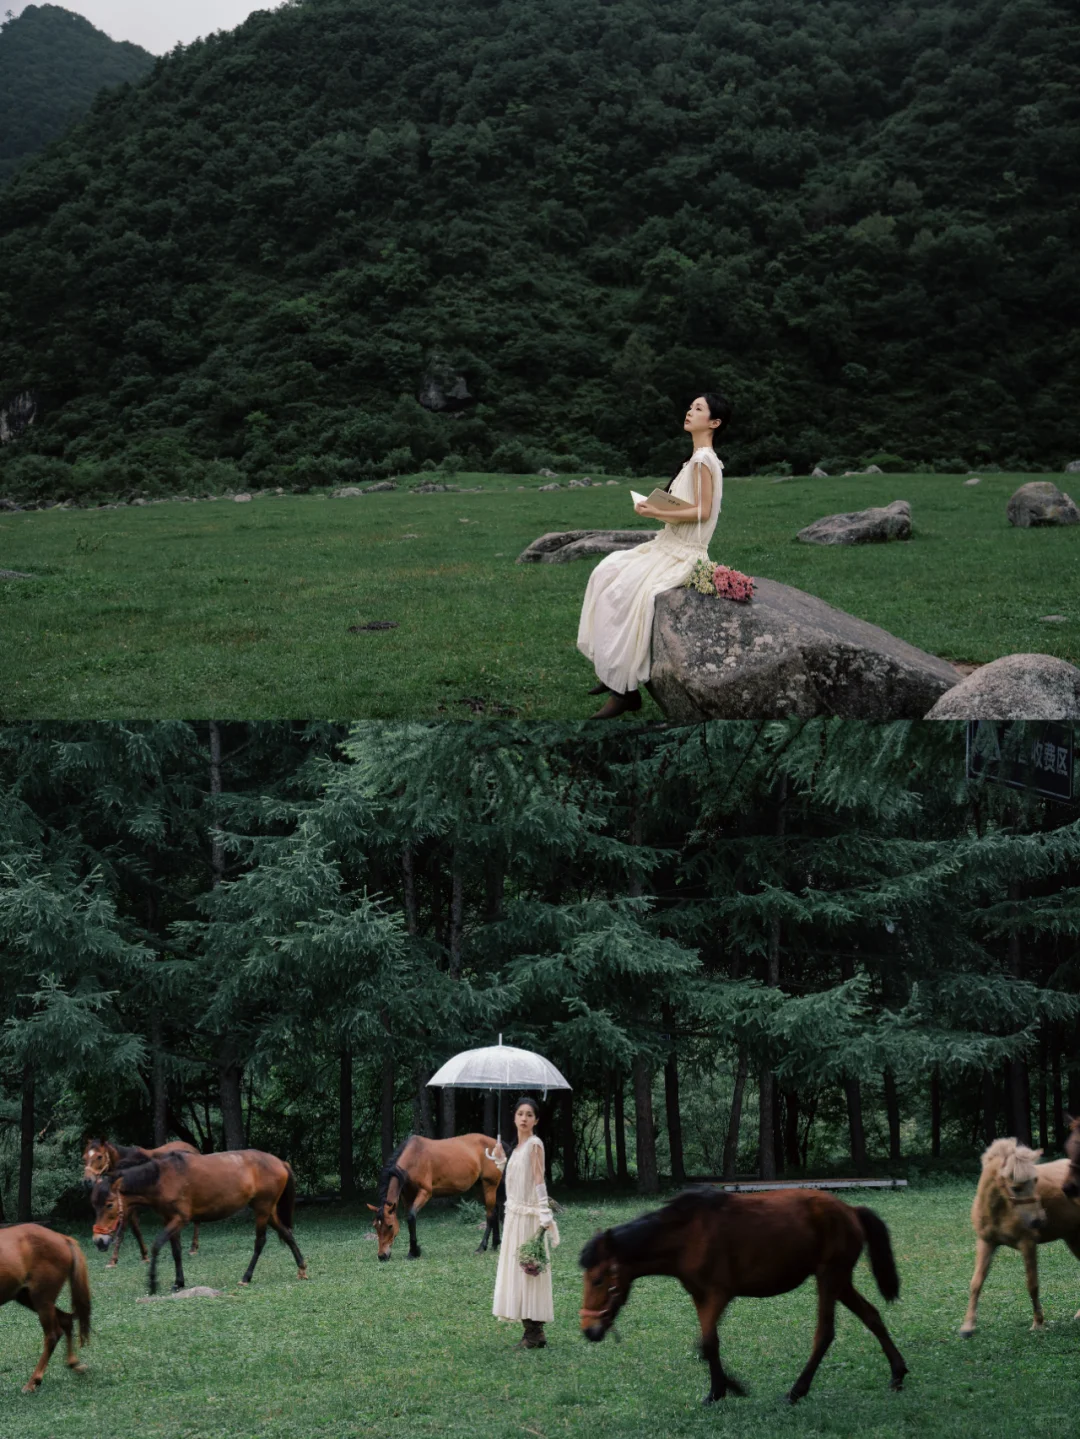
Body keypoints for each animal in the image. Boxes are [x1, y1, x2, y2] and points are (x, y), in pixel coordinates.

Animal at [0, 1226, 91, 1392]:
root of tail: (62, 1238)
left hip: (42, 1300)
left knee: (52, 1335)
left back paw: (33, 1381)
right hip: (28, 1297)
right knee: (66, 1320)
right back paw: (73, 1362)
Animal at [88, 1145, 307, 1295]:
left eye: (109, 1204)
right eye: (94, 1205)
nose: (99, 1241)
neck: (161, 1178)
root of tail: (281, 1162)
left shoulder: (180, 1219)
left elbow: (157, 1245)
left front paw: (152, 1282)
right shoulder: (169, 1220)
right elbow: (176, 1252)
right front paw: (178, 1282)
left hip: (262, 1210)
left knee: (260, 1242)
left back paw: (246, 1277)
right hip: (268, 1211)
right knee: (287, 1234)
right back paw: (302, 1269)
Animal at [368, 1133, 503, 1260]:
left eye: (390, 1226)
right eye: (375, 1226)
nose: (382, 1256)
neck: (414, 1157)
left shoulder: (425, 1192)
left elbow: (411, 1216)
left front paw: (413, 1252)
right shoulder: (407, 1196)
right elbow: (409, 1218)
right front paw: (414, 1251)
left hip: (489, 1185)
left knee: (490, 1215)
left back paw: (481, 1247)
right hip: (481, 1188)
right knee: (495, 1211)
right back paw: (495, 1244)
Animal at [578, 1191, 908, 1404]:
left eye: (598, 1279)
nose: (589, 1331)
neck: (687, 1236)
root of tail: (851, 1210)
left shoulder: (718, 1295)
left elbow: (706, 1344)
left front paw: (728, 1388)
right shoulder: (700, 1297)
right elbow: (709, 1344)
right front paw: (719, 1390)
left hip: (829, 1278)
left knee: (824, 1333)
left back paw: (797, 1391)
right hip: (840, 1282)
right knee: (872, 1316)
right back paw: (898, 1373)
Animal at [960, 1133, 1080, 1335]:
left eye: (1036, 1181)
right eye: (1016, 1187)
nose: (1038, 1221)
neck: (999, 1210)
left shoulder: (1027, 1243)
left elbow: (1032, 1284)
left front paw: (1038, 1323)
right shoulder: (986, 1242)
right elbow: (976, 1282)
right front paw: (968, 1326)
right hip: (1072, 1238)